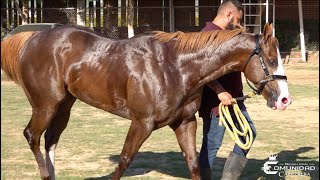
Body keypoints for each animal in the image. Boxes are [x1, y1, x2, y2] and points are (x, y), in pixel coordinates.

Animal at [0, 23, 290, 179]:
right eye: (271, 59)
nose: (284, 99)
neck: (175, 66)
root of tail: (32, 39)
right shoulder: (141, 123)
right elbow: (124, 161)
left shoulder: (185, 124)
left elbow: (194, 163)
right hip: (46, 105)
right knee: (33, 136)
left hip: (64, 106)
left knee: (50, 141)